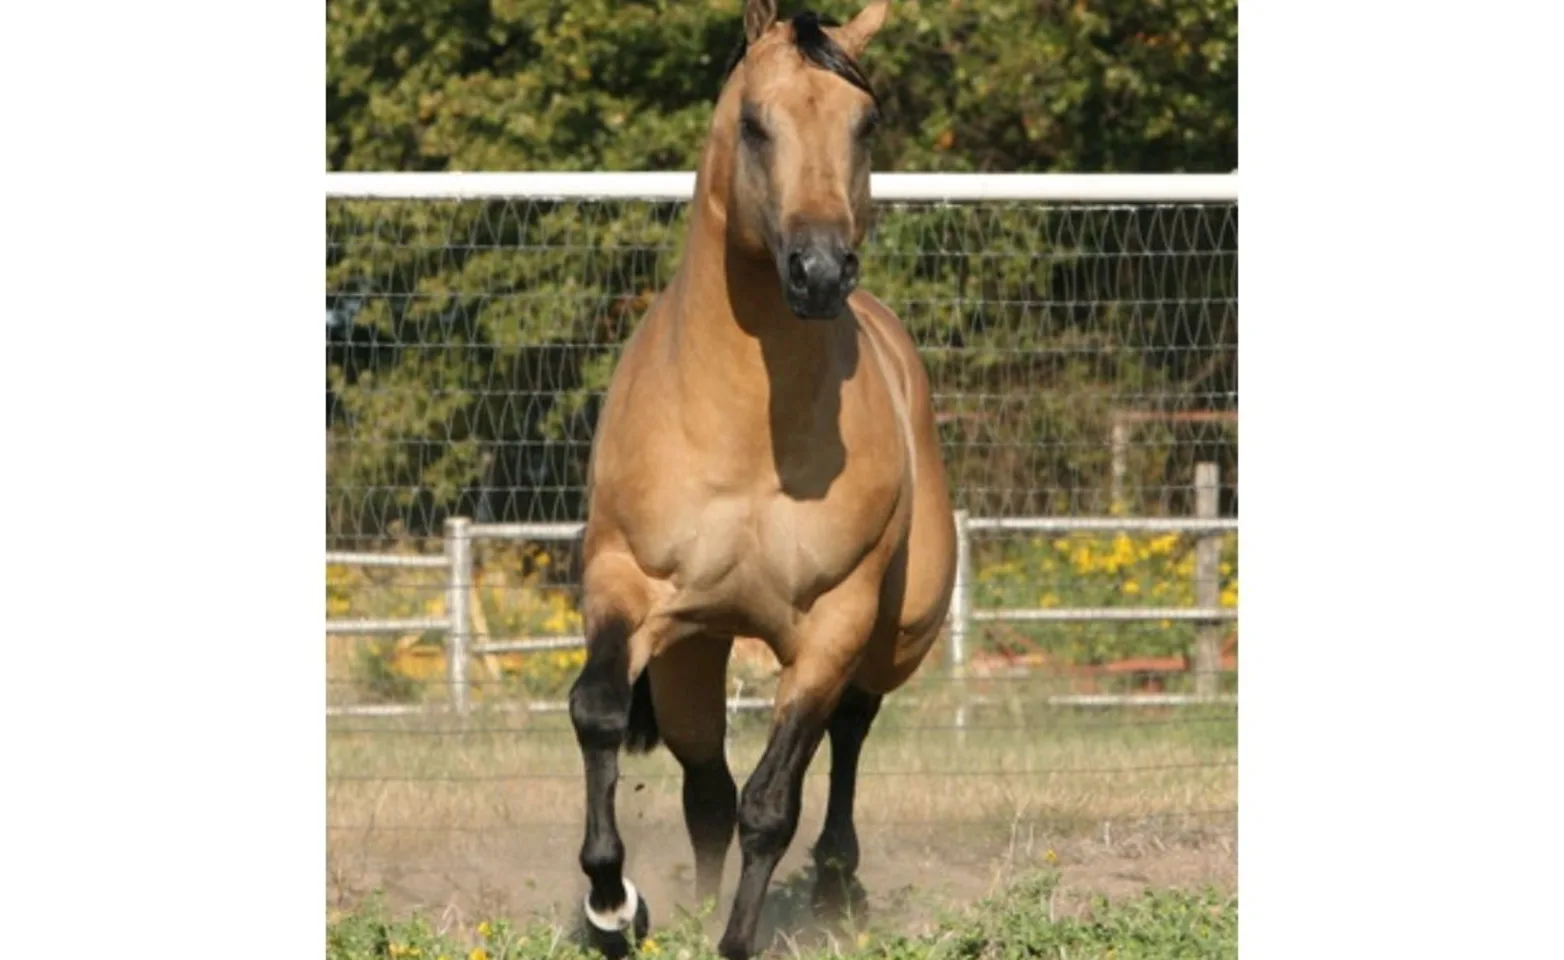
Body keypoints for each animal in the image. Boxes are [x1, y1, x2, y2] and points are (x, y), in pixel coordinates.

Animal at [566, 2, 956, 957]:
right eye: (754, 122)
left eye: (866, 122)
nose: (817, 270)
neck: (745, 430)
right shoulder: (625, 583)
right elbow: (599, 711)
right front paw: (611, 903)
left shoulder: (833, 626)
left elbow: (773, 803)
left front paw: (735, 940)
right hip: (694, 648)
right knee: (705, 777)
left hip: (890, 638)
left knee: (846, 735)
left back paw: (838, 885)